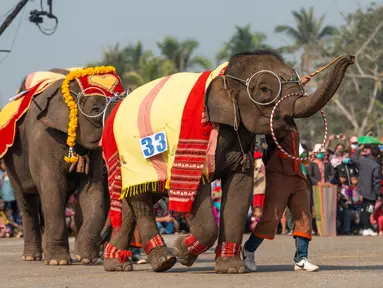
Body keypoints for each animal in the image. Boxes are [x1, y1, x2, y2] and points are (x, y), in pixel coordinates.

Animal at [0, 66, 126, 264]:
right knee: (26, 200)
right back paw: (32, 257)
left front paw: (86, 259)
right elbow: (53, 186)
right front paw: (58, 262)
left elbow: (92, 189)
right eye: (96, 109)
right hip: (11, 162)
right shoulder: (43, 137)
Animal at [100, 50, 356, 274]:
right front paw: (182, 251)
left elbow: (240, 187)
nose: (350, 57)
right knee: (141, 202)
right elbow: (199, 193)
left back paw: (117, 263)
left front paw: (231, 268)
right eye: (264, 89)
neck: (222, 76)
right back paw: (163, 260)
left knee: (133, 201)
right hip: (130, 157)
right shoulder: (196, 141)